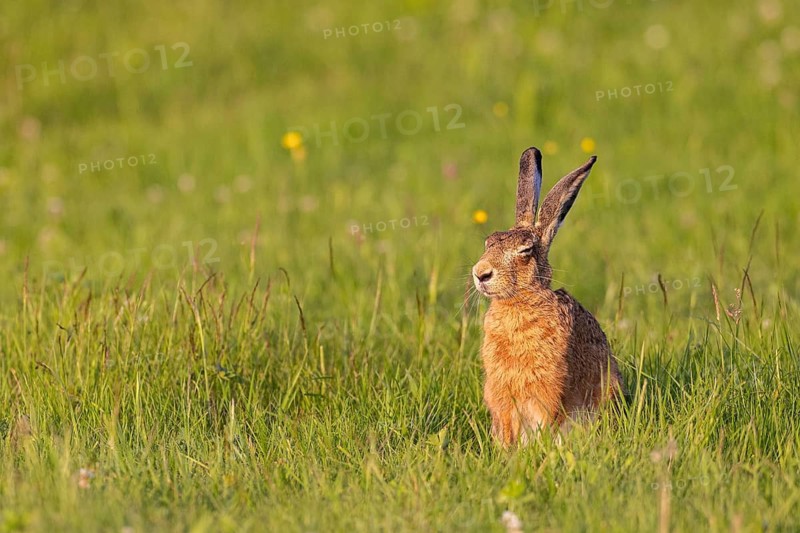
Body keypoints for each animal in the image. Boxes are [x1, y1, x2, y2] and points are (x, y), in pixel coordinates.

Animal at [472, 147, 625, 447]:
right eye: (488, 242)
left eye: (525, 251)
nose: (480, 273)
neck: (519, 302)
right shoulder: (501, 394)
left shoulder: (548, 390)